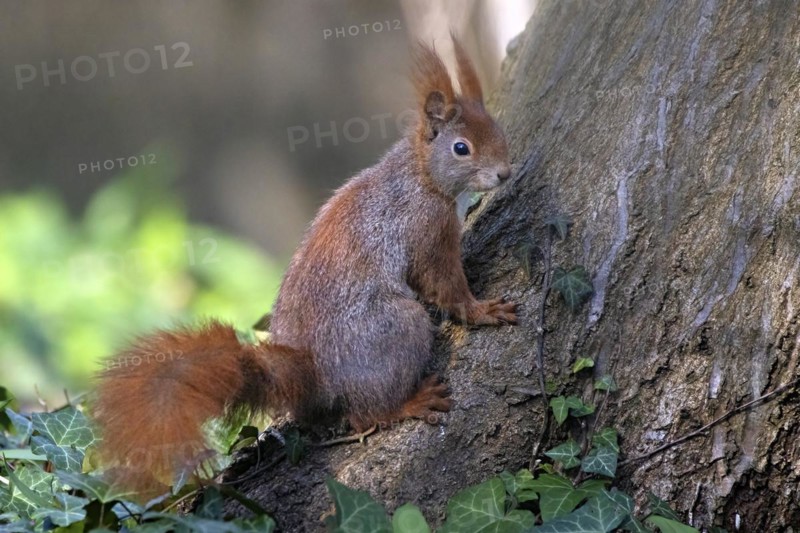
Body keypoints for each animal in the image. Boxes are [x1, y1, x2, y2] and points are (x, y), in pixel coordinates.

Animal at [94, 35, 516, 492]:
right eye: (461, 148)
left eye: (499, 131)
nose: (504, 174)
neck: (421, 176)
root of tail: (311, 375)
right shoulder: (427, 230)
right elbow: (444, 285)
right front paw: (484, 310)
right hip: (396, 327)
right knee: (365, 413)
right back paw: (409, 403)